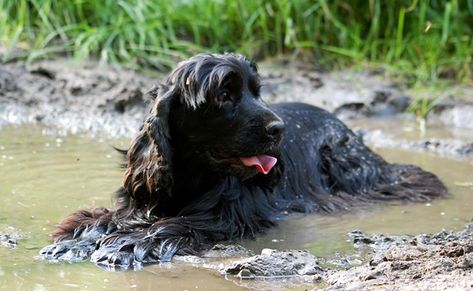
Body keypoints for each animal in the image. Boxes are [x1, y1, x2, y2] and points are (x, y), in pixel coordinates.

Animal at [39, 53, 446, 270]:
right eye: (224, 94)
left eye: (257, 91)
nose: (279, 129)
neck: (194, 175)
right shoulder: (144, 198)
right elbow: (107, 219)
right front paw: (75, 241)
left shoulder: (228, 214)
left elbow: (176, 225)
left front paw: (125, 246)